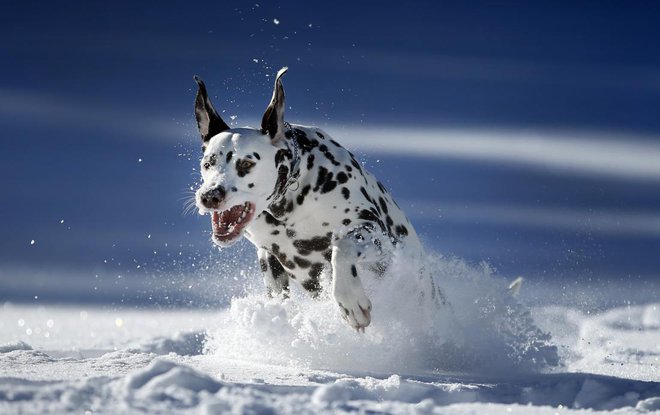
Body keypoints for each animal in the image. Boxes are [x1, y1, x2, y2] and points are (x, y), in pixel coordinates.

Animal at [193, 68, 426, 334]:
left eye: (246, 163)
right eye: (208, 163)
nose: (209, 196)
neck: (289, 208)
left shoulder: (372, 231)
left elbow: (341, 249)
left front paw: (351, 300)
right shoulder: (269, 258)